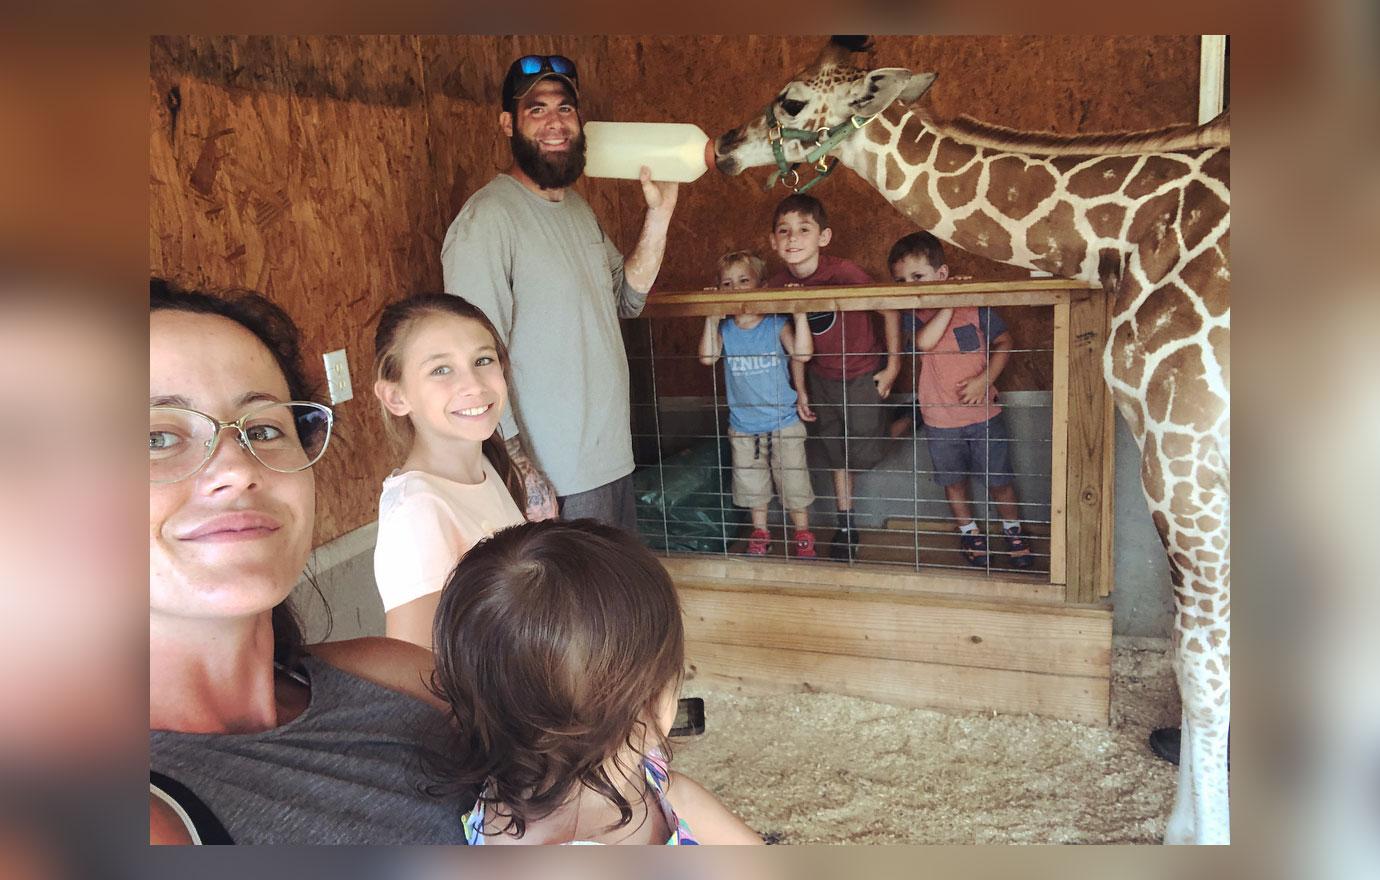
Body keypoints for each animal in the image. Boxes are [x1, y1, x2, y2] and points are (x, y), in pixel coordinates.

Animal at [712, 36, 1230, 849]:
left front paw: (1193, 837)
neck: (1129, 233)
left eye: (791, 100)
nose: (725, 146)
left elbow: (1204, 671)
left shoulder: (1189, 440)